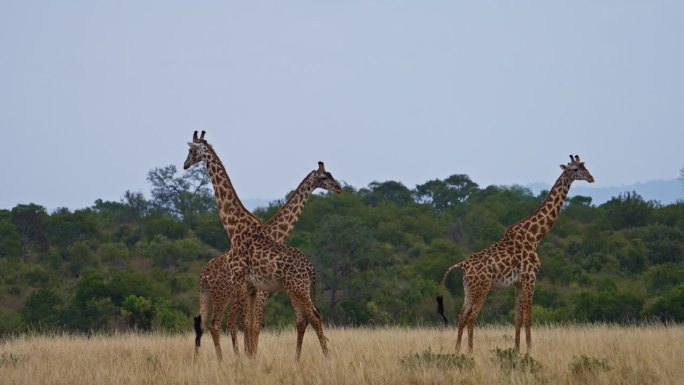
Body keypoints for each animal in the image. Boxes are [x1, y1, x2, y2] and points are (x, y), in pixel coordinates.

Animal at [182, 130, 332, 358]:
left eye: (191, 151)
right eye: (324, 177)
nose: (185, 164)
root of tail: (203, 275)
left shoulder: (258, 291)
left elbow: (252, 326)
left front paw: (249, 357)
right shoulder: (257, 291)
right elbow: (250, 326)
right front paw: (249, 357)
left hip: (216, 296)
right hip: (220, 296)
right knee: (213, 325)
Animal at [438, 154, 592, 352]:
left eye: (585, 166)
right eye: (575, 169)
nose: (591, 178)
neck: (535, 235)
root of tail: (462, 265)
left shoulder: (518, 283)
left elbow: (517, 318)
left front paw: (517, 350)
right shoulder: (530, 277)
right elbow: (528, 318)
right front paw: (529, 350)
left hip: (469, 289)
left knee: (462, 315)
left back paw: (457, 351)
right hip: (482, 288)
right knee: (471, 317)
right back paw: (470, 352)